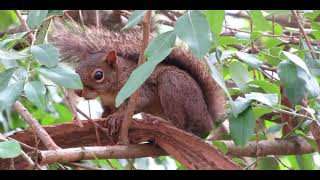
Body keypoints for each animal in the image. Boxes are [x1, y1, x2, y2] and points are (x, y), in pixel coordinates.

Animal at [49, 20, 225, 136]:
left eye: (98, 75)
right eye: (77, 68)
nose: (77, 92)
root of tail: (207, 119)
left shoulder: (136, 86)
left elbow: (140, 101)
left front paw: (117, 117)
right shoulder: (108, 103)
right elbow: (106, 111)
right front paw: (100, 120)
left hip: (172, 84)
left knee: (180, 124)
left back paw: (164, 123)